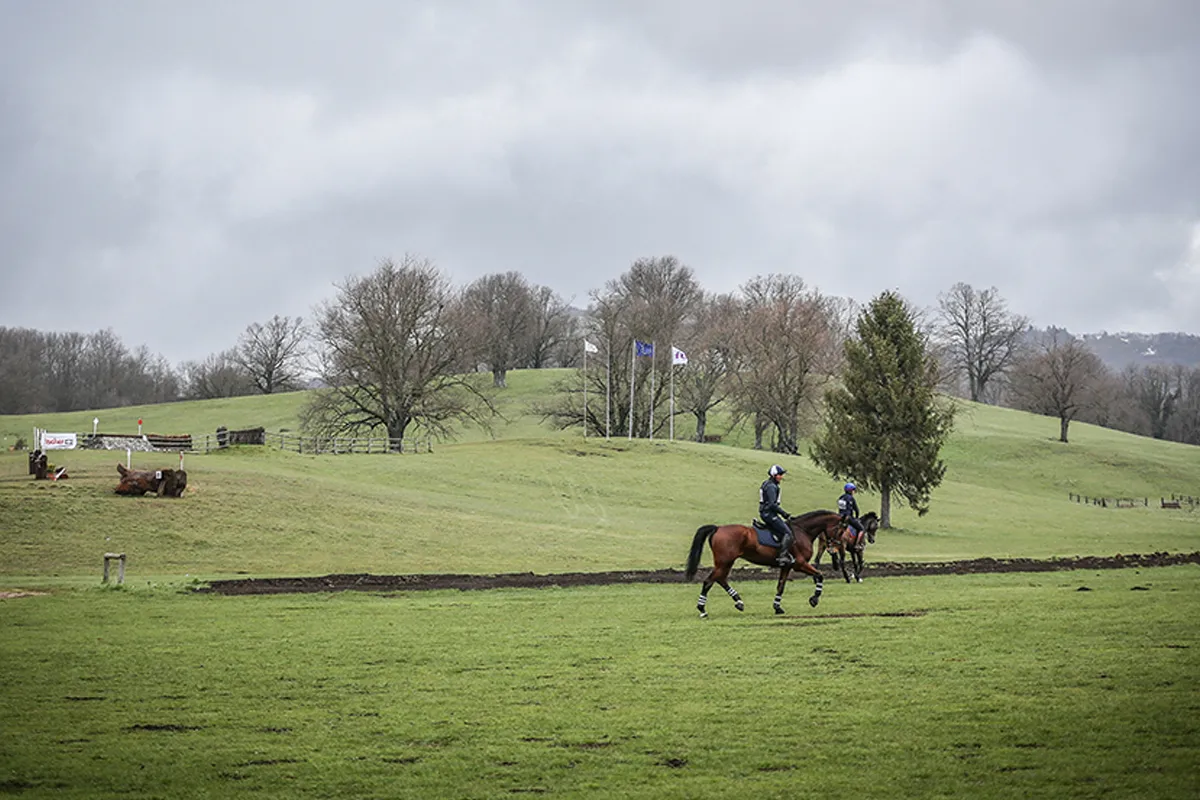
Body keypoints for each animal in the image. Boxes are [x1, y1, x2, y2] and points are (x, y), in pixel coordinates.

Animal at [691, 510, 840, 618]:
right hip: (724, 562)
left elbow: (781, 586)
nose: (835, 547)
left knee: (720, 579)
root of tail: (718, 528)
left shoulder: (786, 566)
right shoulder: (800, 564)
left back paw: (739, 602)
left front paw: (777, 607)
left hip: (725, 563)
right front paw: (814, 599)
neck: (802, 531)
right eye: (841, 529)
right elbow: (820, 575)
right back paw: (702, 609)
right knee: (709, 581)